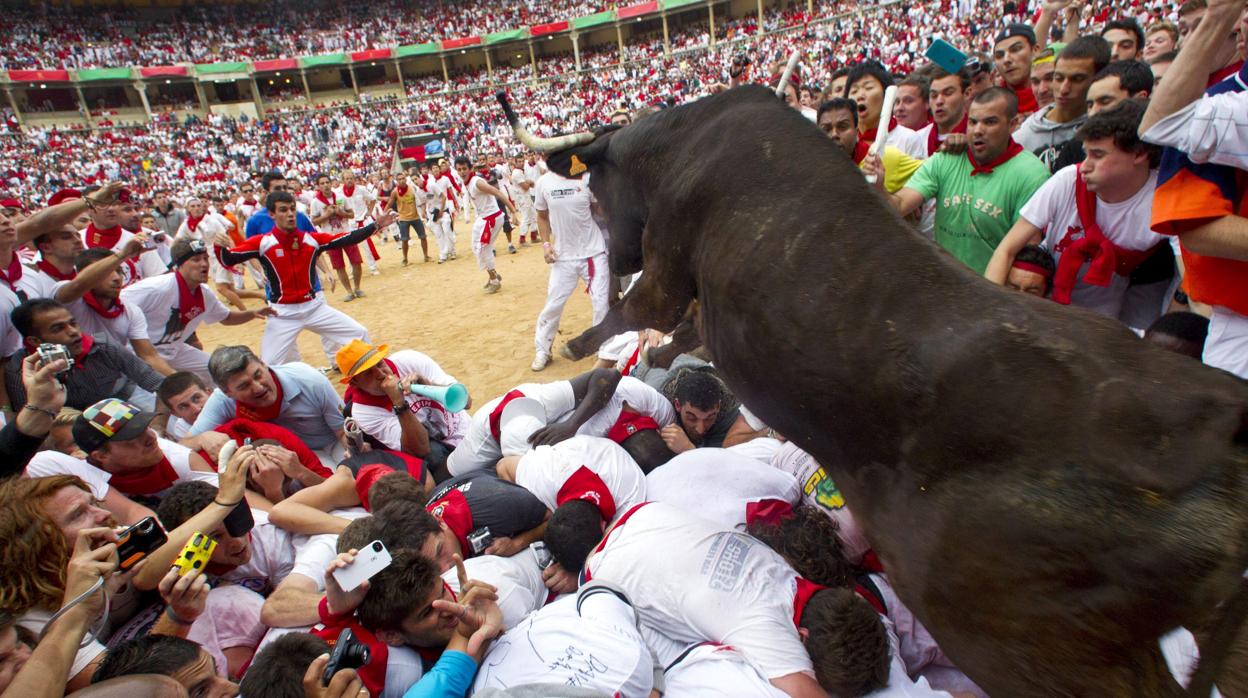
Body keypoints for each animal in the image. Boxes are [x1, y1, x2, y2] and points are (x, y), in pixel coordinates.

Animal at [496, 87, 1248, 698]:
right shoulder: (693, 308)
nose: (616, 255)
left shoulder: (667, 270)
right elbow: (655, 344)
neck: (684, 140)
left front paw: (574, 367)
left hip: (1014, 640)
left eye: (594, 195)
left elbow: (628, 319)